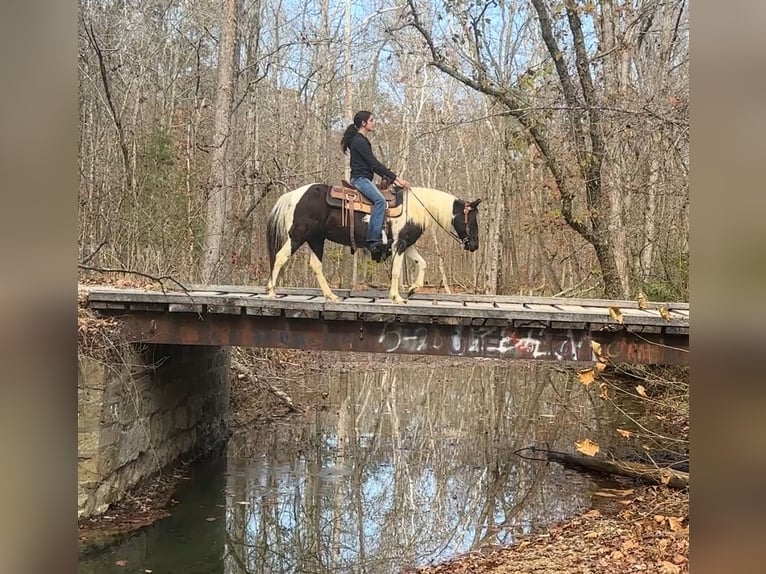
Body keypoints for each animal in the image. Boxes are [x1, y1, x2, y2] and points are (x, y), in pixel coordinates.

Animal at [265, 183, 481, 303]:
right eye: (472, 220)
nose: (474, 245)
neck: (415, 208)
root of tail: (293, 195)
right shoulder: (399, 244)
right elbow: (396, 271)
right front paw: (397, 297)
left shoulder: (407, 244)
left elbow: (422, 263)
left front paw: (413, 289)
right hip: (298, 235)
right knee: (280, 257)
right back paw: (271, 292)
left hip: (316, 239)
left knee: (316, 265)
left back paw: (331, 296)